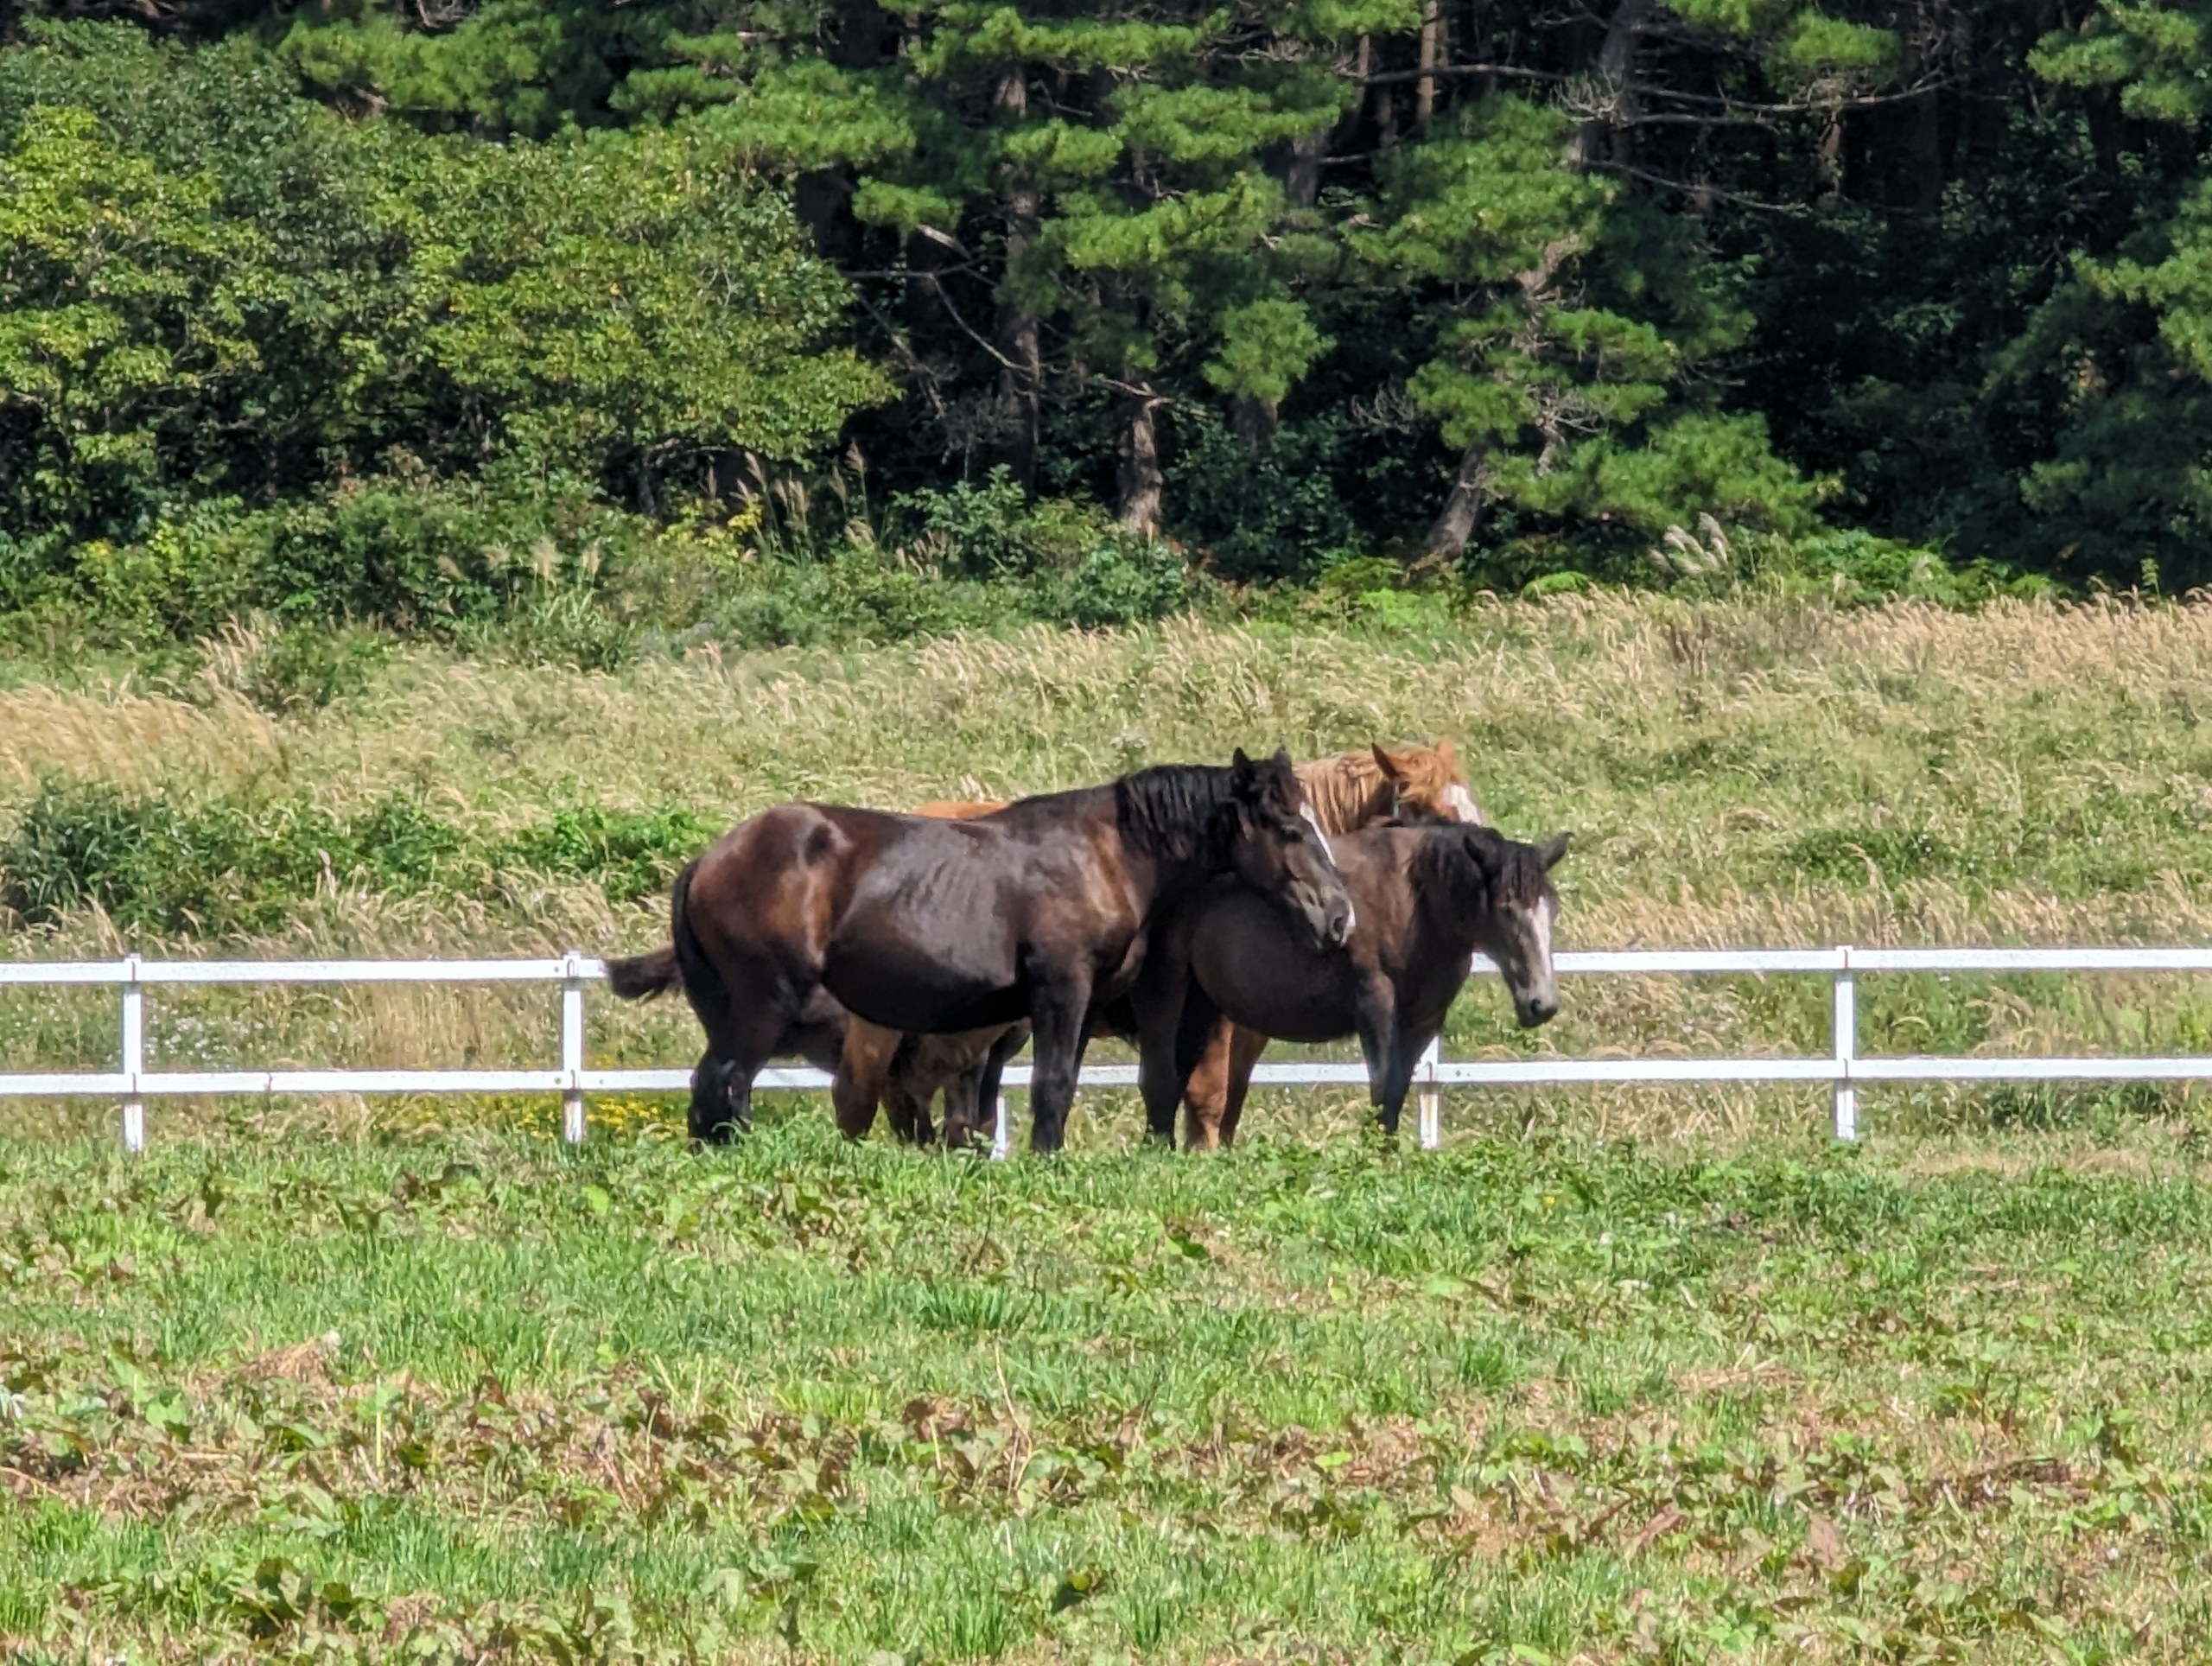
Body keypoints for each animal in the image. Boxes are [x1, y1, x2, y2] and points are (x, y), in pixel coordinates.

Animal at [642, 749, 1352, 1153]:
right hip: (765, 1004)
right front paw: (1046, 1160)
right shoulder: (1062, 991)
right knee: (730, 1082)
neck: (1106, 854)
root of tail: (709, 860)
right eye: (1288, 828)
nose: (1339, 916)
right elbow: (1053, 1083)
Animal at [837, 741, 1488, 1147]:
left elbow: (1222, 1106)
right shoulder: (1197, 1018)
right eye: (1422, 807)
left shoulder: (1243, 1035)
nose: (1338, 919)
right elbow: (1198, 1097)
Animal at [1128, 823, 1567, 1143]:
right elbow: (1382, 1087)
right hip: (1174, 1001)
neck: (1416, 900)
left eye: (1552, 907)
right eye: (1506, 908)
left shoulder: (1423, 1021)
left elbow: (1395, 1092)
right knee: (1166, 1083)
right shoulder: (1374, 1004)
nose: (1541, 1004)